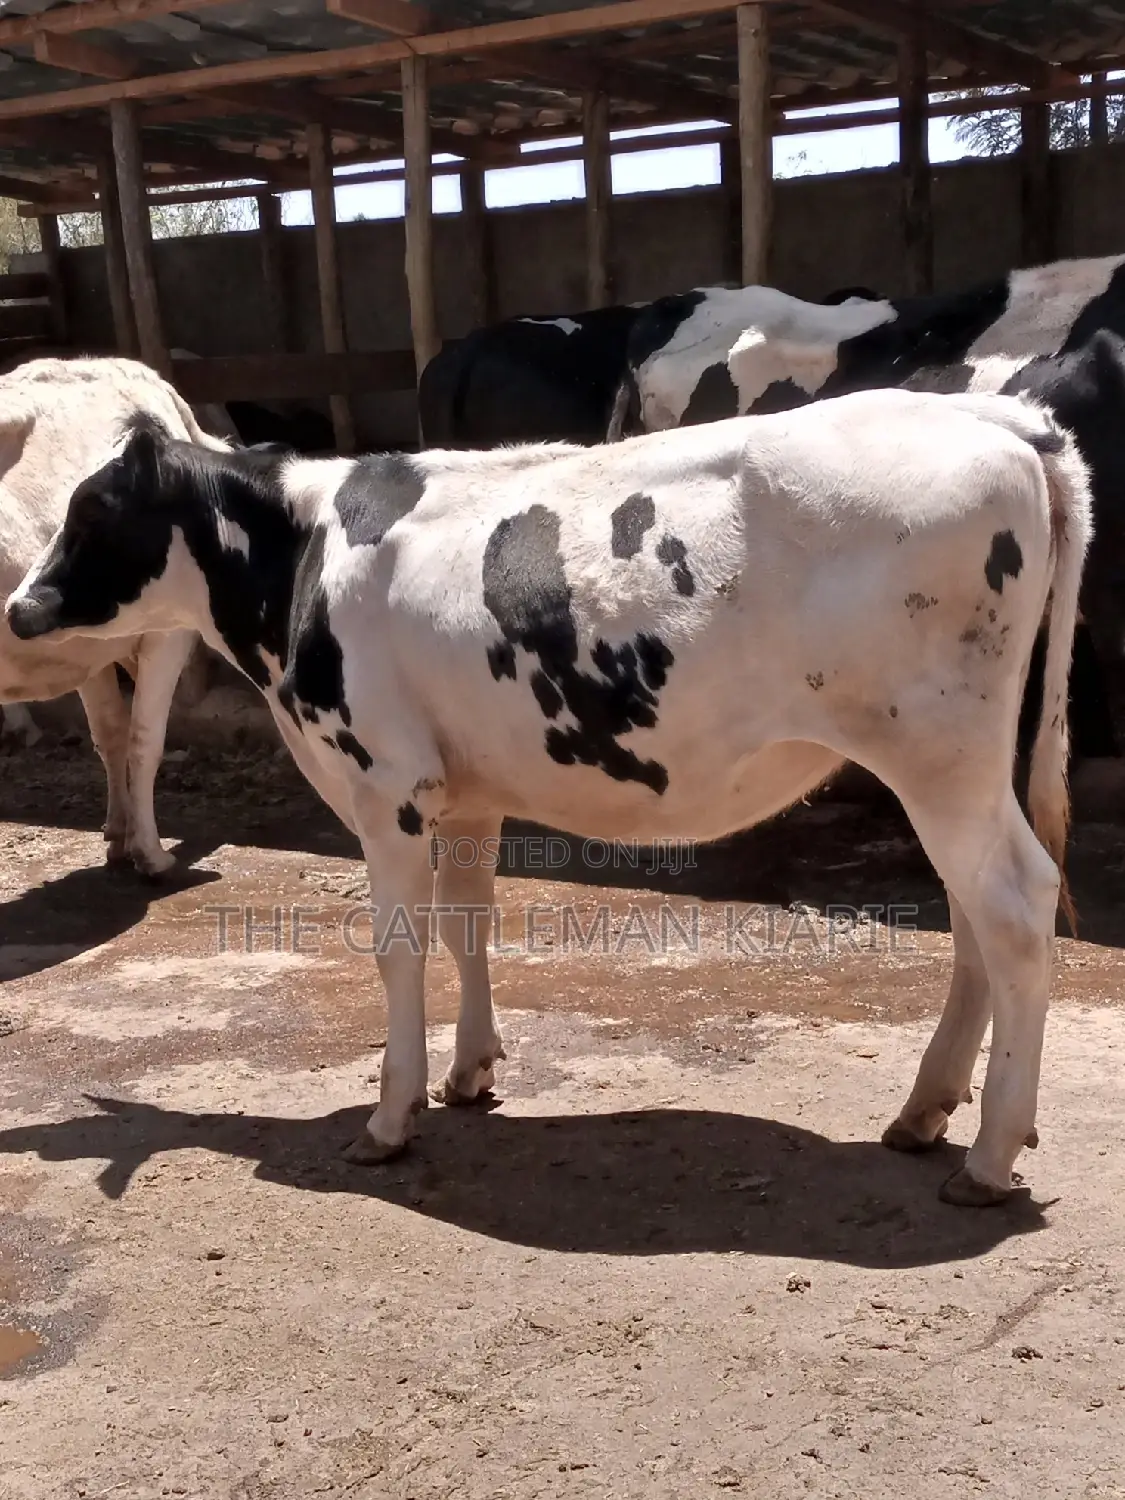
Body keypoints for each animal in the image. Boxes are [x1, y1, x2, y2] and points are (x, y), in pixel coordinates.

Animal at [0, 353, 232, 875]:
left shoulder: (86, 648)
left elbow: (110, 732)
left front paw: (119, 834)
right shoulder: (168, 633)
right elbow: (146, 739)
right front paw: (151, 852)